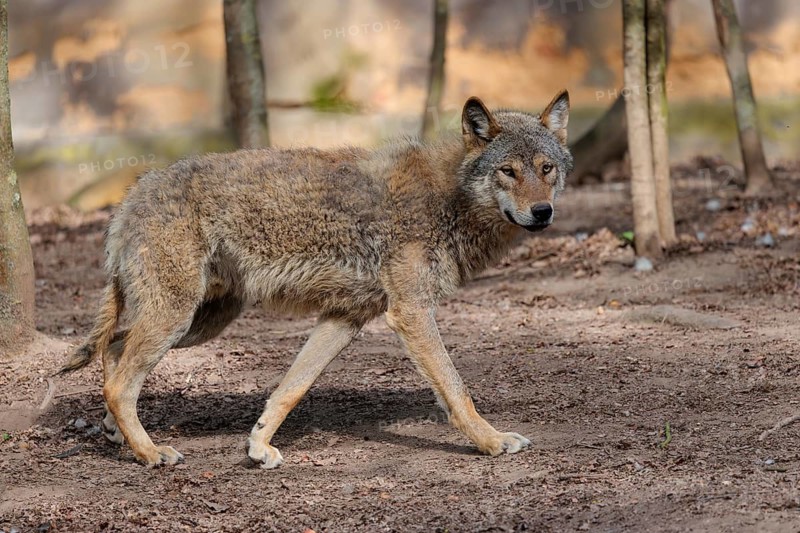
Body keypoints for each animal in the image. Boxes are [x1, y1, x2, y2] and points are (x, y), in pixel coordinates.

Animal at [60, 91, 572, 468]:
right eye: (508, 171)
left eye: (546, 169)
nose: (543, 212)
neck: (449, 200)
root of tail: (131, 196)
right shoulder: (410, 313)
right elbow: (457, 390)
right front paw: (491, 442)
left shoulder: (345, 318)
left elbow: (291, 388)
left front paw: (258, 446)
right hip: (178, 319)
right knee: (119, 381)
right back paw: (150, 453)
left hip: (200, 322)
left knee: (114, 351)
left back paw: (118, 436)